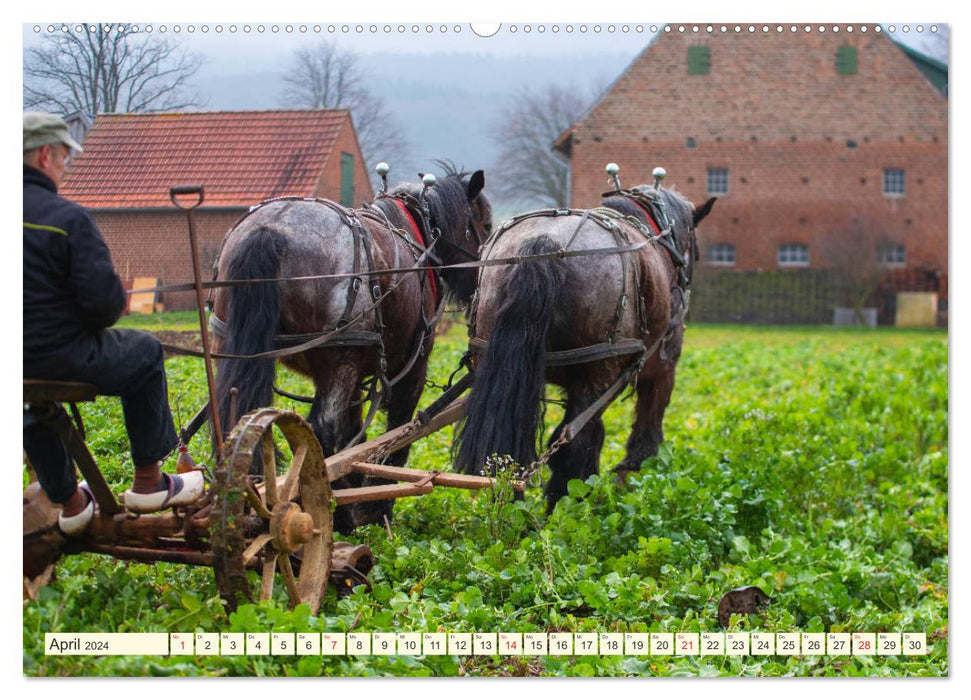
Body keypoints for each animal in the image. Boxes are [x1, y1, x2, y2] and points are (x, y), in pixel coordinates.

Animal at [209, 165, 490, 532]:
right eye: (485, 225)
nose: (477, 287)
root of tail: (270, 230)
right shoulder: (412, 367)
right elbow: (398, 431)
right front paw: (378, 506)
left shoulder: (355, 378)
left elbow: (354, 432)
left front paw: (359, 490)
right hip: (339, 362)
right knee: (320, 433)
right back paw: (333, 513)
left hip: (235, 350)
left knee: (235, 421)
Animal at [456, 172, 712, 512]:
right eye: (694, 249)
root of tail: (543, 245)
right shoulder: (662, 367)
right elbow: (646, 422)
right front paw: (633, 471)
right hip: (596, 373)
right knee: (575, 442)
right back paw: (565, 509)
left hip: (495, 364)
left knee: (509, 454)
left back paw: (514, 514)